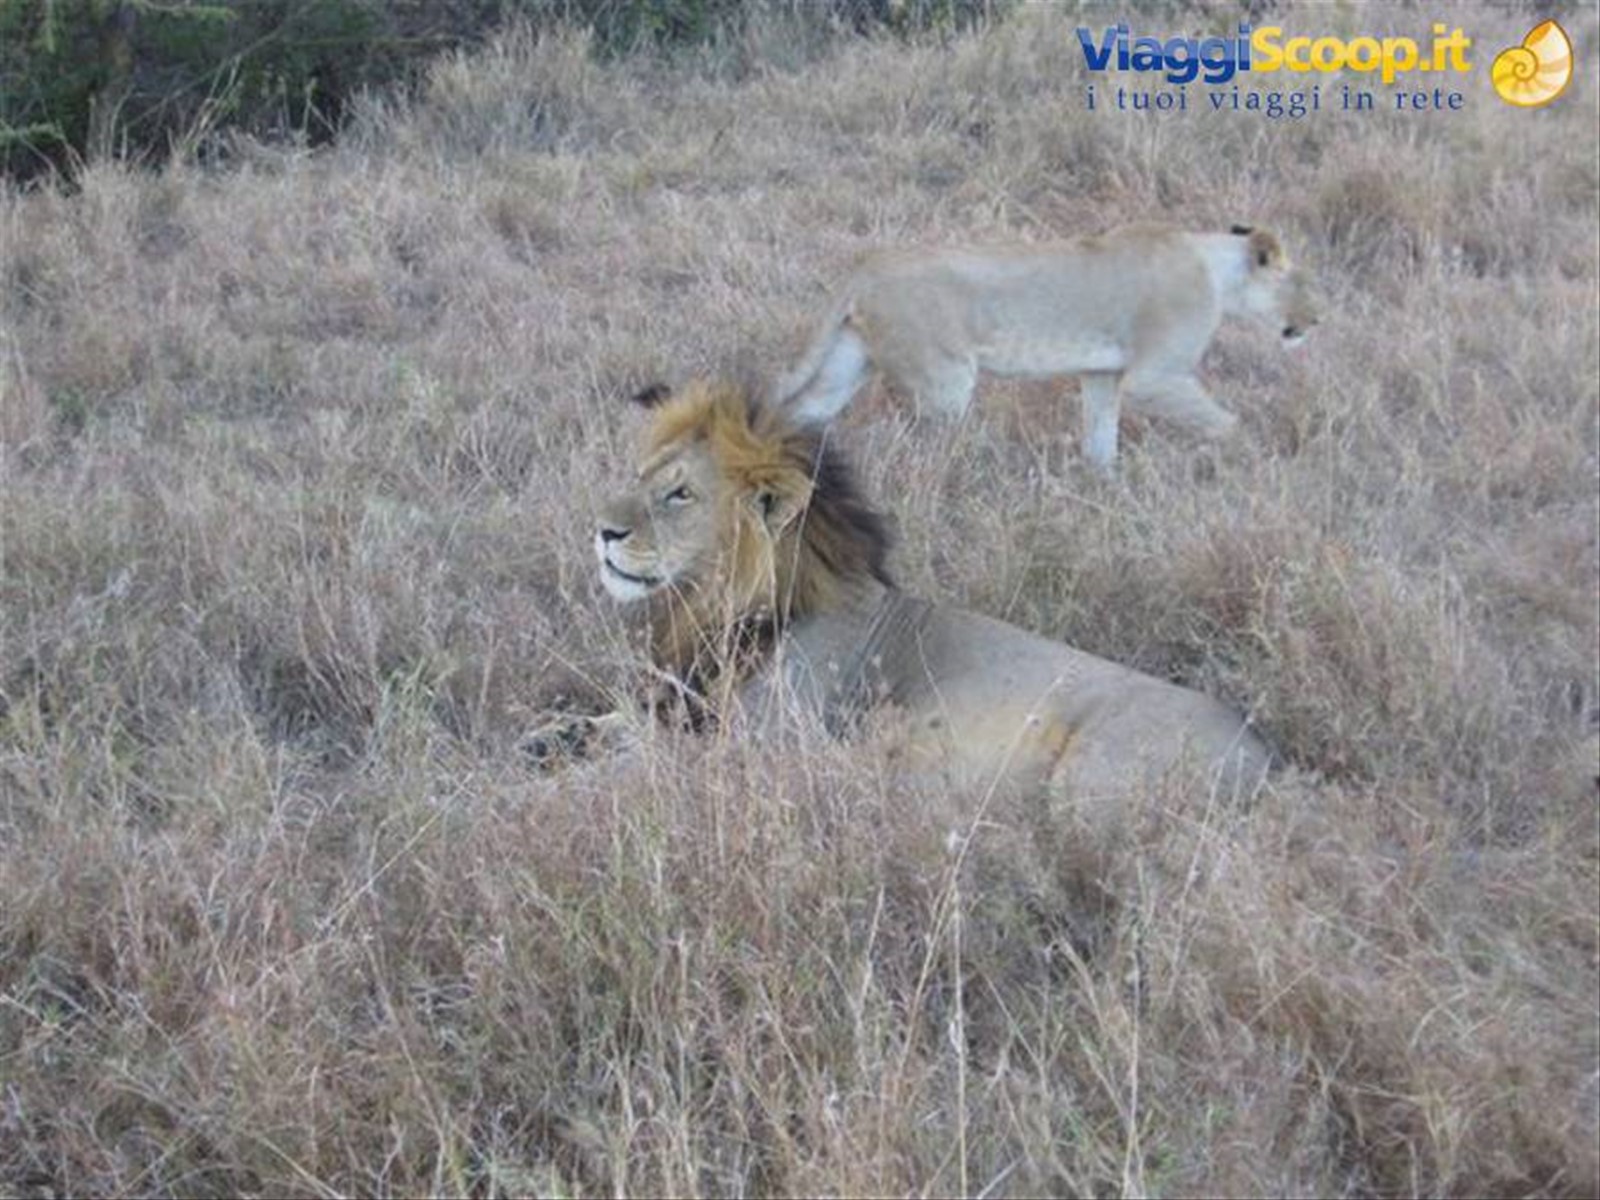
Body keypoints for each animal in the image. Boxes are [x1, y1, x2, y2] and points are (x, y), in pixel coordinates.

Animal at [534, 379, 1271, 807]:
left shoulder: (758, 748)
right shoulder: (687, 698)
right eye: (640, 475)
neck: (717, 609)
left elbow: (644, 763)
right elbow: (624, 720)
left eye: (679, 494)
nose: (602, 531)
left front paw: (545, 790)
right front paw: (550, 737)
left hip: (1089, 780)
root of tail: (1273, 760)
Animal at [771, 223, 1318, 468]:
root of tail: (869, 264)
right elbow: (1223, 421)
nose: (1317, 320)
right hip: (946, 381)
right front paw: (1250, 457)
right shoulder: (1154, 377)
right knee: (926, 448)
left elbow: (1101, 434)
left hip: (848, 360)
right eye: (1301, 283)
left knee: (803, 409)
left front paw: (1102, 487)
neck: (1218, 272)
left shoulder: (1102, 373)